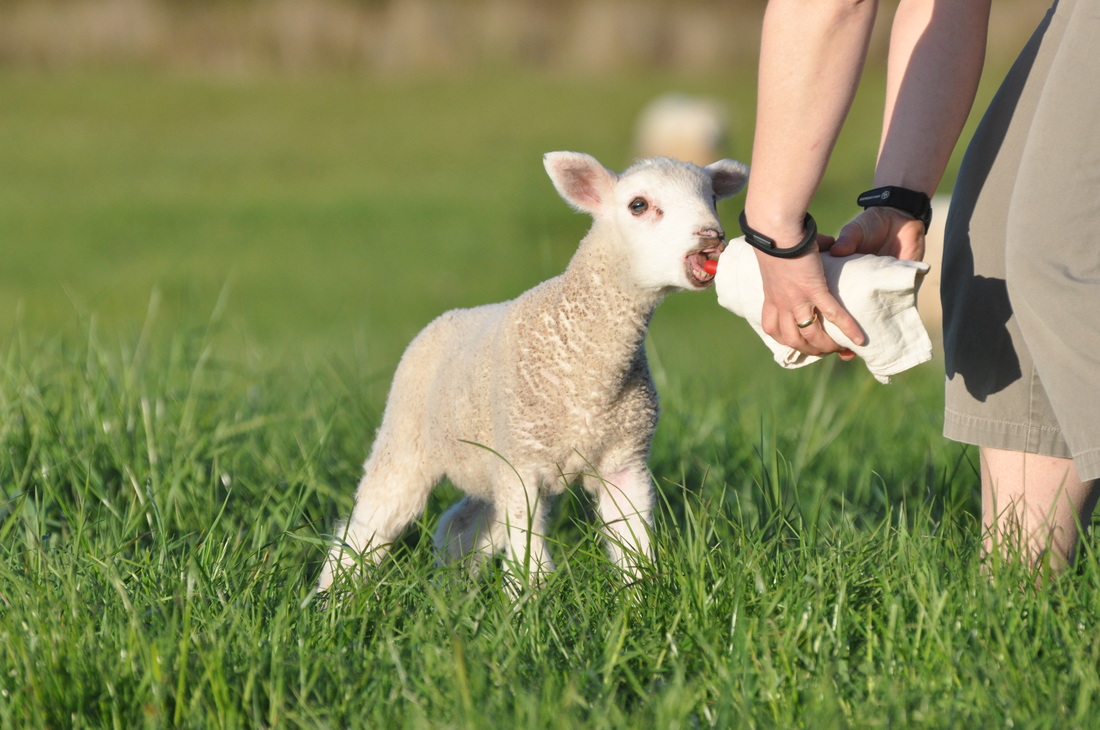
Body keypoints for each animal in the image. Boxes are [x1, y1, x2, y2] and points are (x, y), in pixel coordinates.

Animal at [316, 151, 748, 592]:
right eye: (638, 205)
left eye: (713, 198)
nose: (711, 236)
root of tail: (447, 317)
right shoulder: (521, 460)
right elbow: (530, 557)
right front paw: (530, 599)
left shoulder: (624, 459)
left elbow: (633, 544)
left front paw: (641, 595)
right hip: (408, 437)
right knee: (371, 523)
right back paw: (334, 592)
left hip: (486, 461)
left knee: (461, 525)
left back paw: (453, 588)